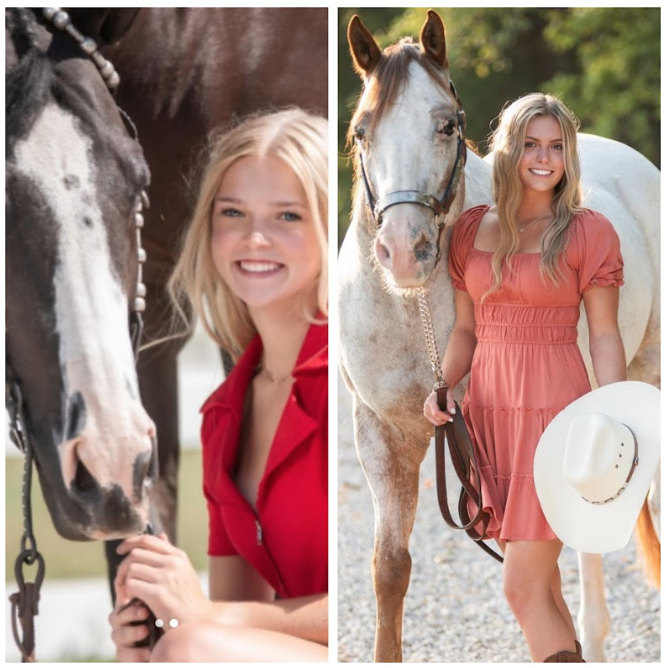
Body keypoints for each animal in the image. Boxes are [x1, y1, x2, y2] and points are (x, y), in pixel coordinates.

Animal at [340, 10, 656, 664]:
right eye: (360, 133)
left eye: (446, 124)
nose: (403, 252)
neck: (415, 315)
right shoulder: (379, 434)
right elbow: (390, 569)